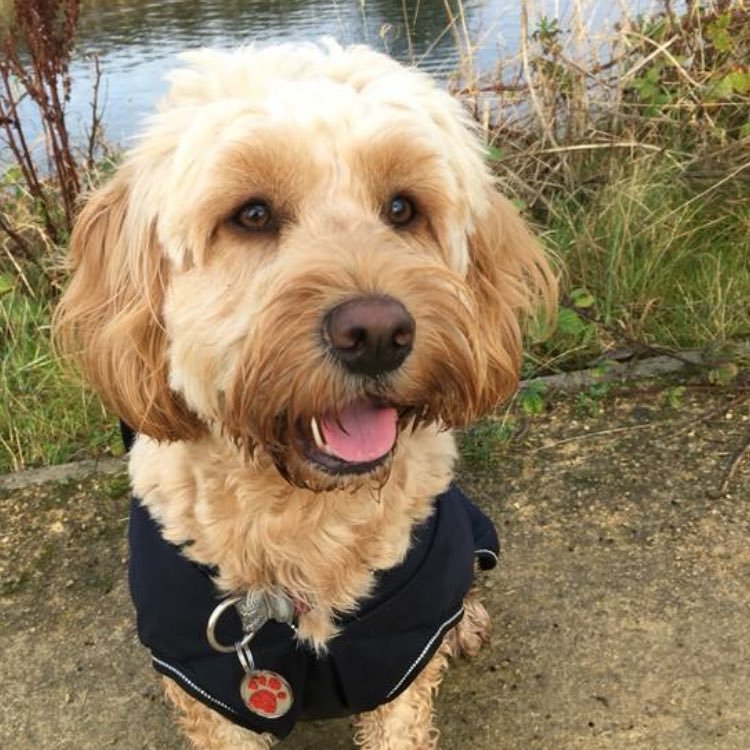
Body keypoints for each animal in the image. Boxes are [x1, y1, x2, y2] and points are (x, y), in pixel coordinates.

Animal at [54, 41, 560, 750]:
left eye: (402, 209)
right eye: (252, 214)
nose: (376, 335)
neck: (303, 511)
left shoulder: (397, 650)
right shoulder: (205, 675)